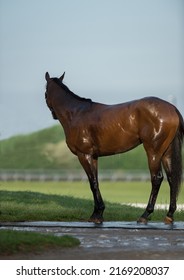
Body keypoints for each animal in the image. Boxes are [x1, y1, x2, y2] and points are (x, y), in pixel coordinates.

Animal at [45, 72, 184, 225]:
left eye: (45, 92)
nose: (53, 114)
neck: (76, 113)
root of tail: (172, 108)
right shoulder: (93, 157)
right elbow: (96, 181)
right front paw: (97, 213)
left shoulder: (84, 155)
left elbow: (92, 183)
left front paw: (97, 215)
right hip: (166, 152)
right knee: (172, 178)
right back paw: (169, 215)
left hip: (153, 151)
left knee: (157, 178)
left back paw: (145, 214)